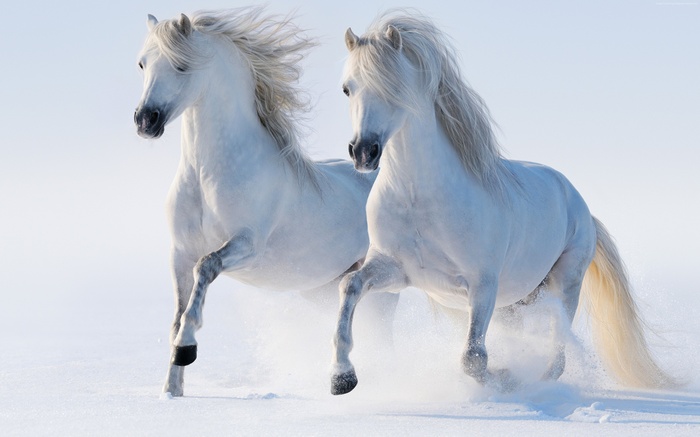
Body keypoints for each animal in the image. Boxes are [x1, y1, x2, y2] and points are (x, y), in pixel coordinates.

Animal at [133, 7, 397, 397]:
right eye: (142, 63)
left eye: (181, 65)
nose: (145, 121)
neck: (207, 176)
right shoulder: (179, 253)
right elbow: (177, 316)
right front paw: (172, 391)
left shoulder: (246, 245)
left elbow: (205, 270)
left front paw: (187, 349)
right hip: (321, 289)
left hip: (383, 286)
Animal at [330, 10, 676, 395]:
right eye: (347, 88)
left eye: (393, 86)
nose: (364, 152)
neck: (419, 199)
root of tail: (581, 206)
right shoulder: (396, 270)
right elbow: (350, 285)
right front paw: (342, 377)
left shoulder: (483, 285)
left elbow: (473, 358)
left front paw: (505, 378)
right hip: (515, 302)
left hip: (563, 285)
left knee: (557, 354)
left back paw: (537, 382)